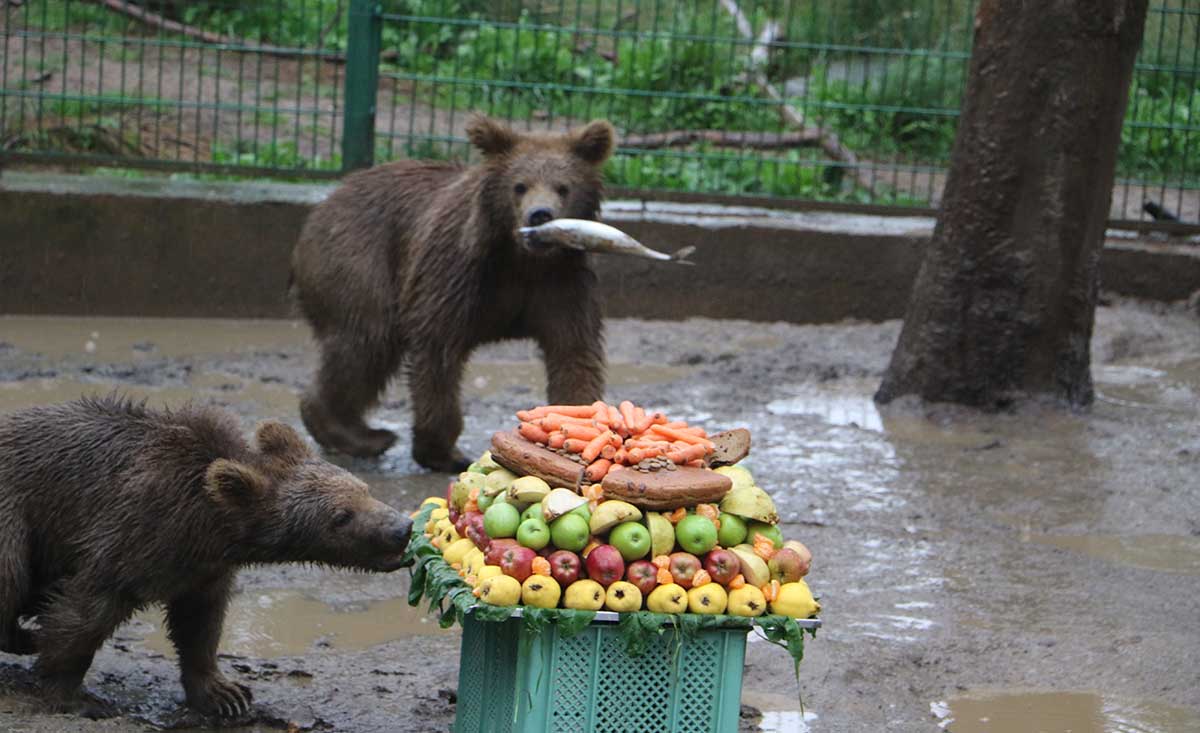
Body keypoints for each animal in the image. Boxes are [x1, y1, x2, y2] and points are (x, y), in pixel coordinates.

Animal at [0, 398, 412, 719]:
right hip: (14, 519)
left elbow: (200, 625)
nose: (401, 527)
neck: (208, 526)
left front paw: (225, 694)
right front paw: (73, 694)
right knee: (11, 574)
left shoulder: (204, 569)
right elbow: (85, 611)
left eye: (364, 489)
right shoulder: (131, 532)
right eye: (341, 516)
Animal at [286, 113, 614, 470]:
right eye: (520, 185)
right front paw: (444, 452)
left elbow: (573, 352)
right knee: (366, 341)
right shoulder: (456, 274)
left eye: (563, 187)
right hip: (358, 258)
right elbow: (437, 349)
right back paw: (361, 434)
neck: (520, 261)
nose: (540, 214)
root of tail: (328, 199)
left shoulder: (562, 283)